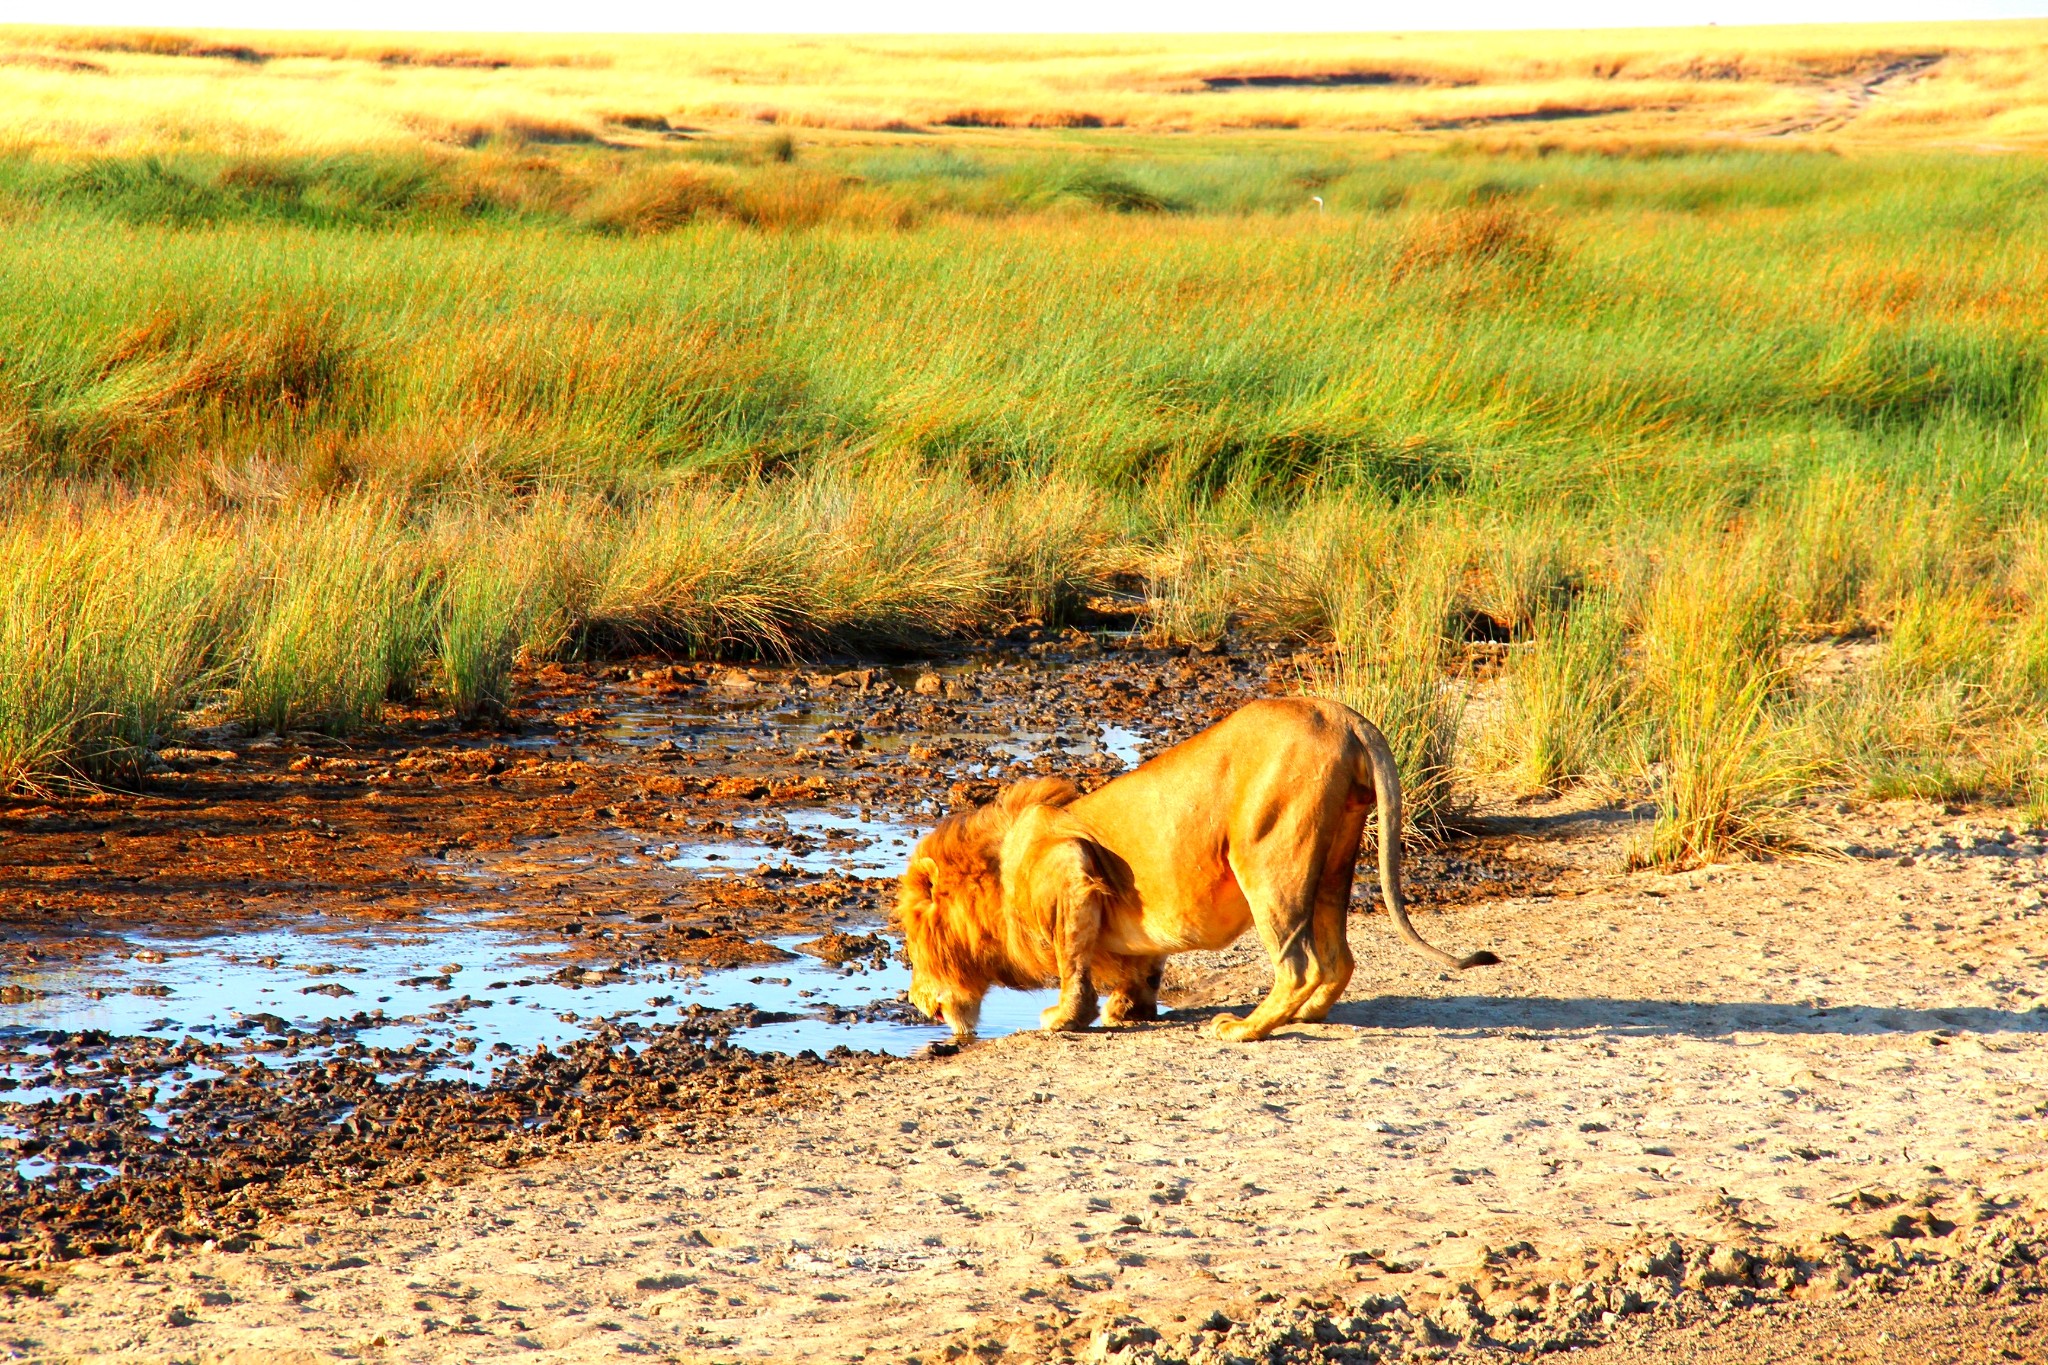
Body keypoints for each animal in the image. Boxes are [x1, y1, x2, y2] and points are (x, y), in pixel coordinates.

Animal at [888, 699, 1499, 1039]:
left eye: (910, 946)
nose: (915, 1000)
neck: (996, 878)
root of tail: (1341, 715)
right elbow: (1135, 968)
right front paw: (1128, 1009)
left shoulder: (1070, 868)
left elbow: (1072, 964)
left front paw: (1064, 1018)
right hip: (1334, 859)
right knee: (1338, 960)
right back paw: (1303, 1017)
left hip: (1267, 857)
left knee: (1298, 962)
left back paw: (1246, 1030)